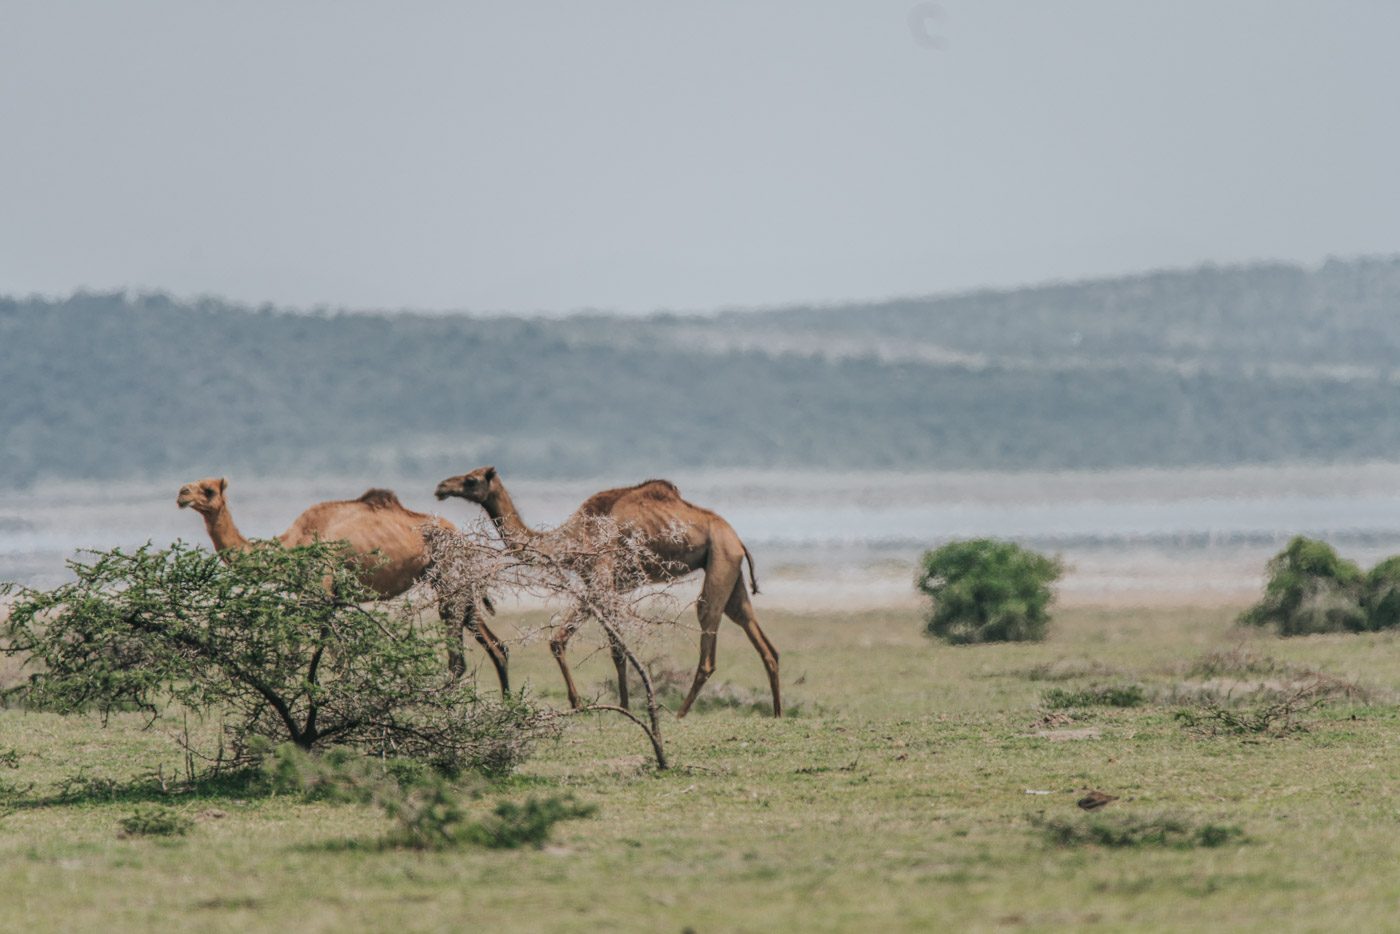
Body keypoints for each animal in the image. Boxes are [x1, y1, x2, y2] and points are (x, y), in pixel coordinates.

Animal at [176, 478, 509, 691]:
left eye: (208, 489)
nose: (182, 493)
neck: (294, 542)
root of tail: (461, 538)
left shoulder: (322, 586)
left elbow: (320, 646)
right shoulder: (320, 594)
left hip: (448, 574)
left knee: (457, 649)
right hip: (454, 581)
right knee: (494, 643)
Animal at [428, 464, 778, 716]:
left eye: (471, 480)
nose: (441, 487)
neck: (571, 538)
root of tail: (738, 539)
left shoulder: (600, 579)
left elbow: (573, 642)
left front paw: (585, 704)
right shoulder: (600, 585)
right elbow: (605, 646)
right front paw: (616, 706)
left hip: (720, 559)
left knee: (708, 633)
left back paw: (680, 713)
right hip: (730, 569)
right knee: (757, 634)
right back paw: (776, 712)